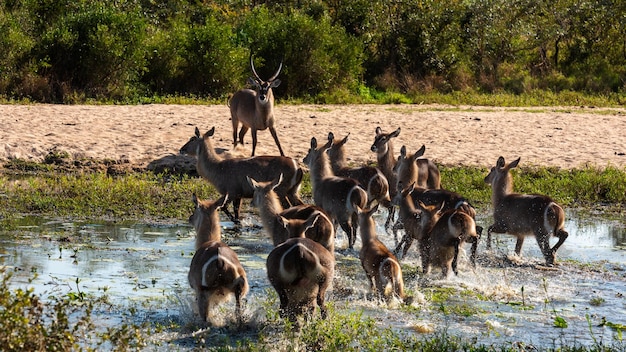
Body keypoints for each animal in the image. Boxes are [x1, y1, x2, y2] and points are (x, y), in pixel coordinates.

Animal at [188, 194, 249, 324]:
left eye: (195, 207)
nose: (190, 218)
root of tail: (220, 262)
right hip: (240, 290)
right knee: (238, 313)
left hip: (204, 294)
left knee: (205, 318)